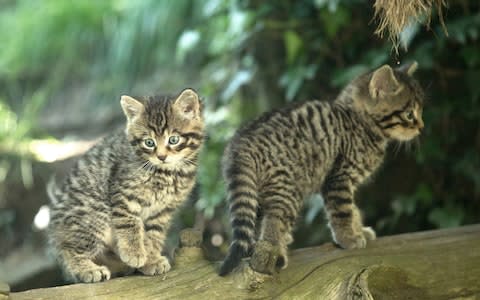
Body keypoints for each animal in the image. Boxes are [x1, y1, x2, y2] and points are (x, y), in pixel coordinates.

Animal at [48, 88, 204, 282]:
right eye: (149, 142)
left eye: (173, 140)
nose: (161, 156)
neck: (167, 173)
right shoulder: (122, 193)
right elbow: (129, 222)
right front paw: (134, 253)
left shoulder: (163, 211)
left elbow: (154, 235)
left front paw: (150, 260)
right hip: (94, 211)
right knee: (69, 247)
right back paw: (88, 269)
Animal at [218, 63, 424, 276]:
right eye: (410, 115)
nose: (421, 127)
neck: (360, 121)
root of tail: (241, 143)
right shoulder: (339, 178)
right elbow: (343, 211)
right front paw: (348, 238)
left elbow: (353, 209)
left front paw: (359, 230)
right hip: (287, 188)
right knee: (274, 220)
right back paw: (269, 254)